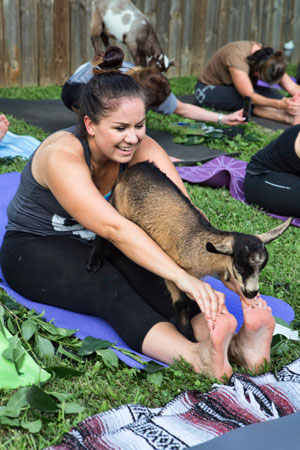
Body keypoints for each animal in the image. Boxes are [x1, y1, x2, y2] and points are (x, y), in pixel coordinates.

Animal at [87, 160, 292, 340]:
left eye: (261, 268)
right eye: (240, 268)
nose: (252, 293)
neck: (198, 246)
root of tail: (135, 168)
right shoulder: (172, 273)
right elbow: (181, 302)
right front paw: (188, 335)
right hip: (118, 205)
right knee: (106, 228)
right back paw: (94, 261)